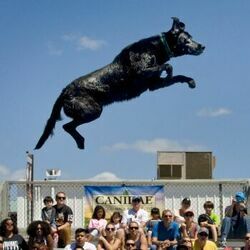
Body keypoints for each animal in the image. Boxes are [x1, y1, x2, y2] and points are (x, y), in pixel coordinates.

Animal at [35, 18, 205, 150]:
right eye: (187, 39)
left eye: (192, 37)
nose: (202, 46)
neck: (156, 47)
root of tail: (64, 92)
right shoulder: (142, 72)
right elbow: (168, 66)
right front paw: (171, 70)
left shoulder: (155, 84)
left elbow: (178, 77)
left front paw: (190, 81)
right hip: (93, 110)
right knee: (66, 126)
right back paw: (80, 141)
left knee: (68, 126)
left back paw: (80, 143)